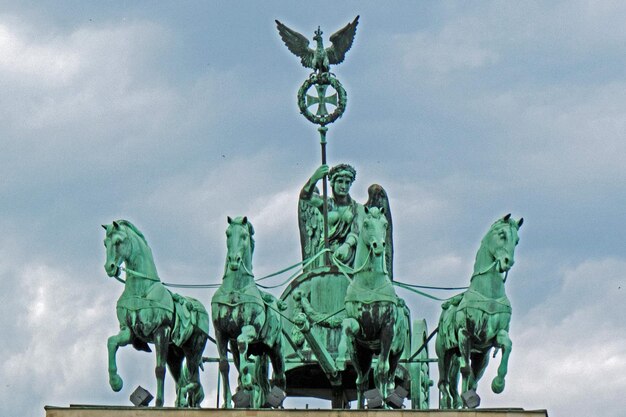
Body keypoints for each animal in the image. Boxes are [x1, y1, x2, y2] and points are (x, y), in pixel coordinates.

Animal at [102, 221, 210, 406]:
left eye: (118, 242)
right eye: (105, 243)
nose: (110, 268)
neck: (141, 289)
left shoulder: (161, 331)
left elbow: (159, 370)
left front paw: (158, 403)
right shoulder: (128, 331)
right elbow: (112, 342)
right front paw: (115, 382)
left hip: (193, 351)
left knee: (192, 381)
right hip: (174, 354)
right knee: (184, 381)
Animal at [211, 216, 286, 408]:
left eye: (244, 235)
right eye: (228, 233)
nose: (234, 260)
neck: (235, 289)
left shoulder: (249, 328)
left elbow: (242, 342)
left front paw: (246, 381)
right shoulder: (220, 333)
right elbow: (224, 365)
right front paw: (227, 403)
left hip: (276, 349)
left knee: (279, 378)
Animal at [338, 206, 408, 408]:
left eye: (385, 224)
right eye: (367, 224)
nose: (378, 246)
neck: (370, 283)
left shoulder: (387, 330)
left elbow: (382, 371)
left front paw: (383, 405)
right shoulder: (359, 332)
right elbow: (348, 327)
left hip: (396, 351)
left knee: (387, 376)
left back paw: (387, 402)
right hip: (367, 353)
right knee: (363, 378)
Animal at [434, 213, 520, 408]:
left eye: (517, 240)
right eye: (502, 234)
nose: (508, 262)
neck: (489, 294)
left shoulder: (492, 339)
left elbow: (507, 344)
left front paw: (498, 383)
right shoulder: (465, 334)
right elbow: (466, 370)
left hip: (481, 357)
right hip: (444, 352)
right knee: (444, 381)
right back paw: (448, 401)